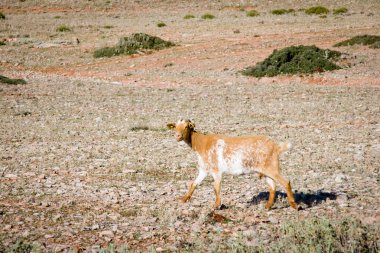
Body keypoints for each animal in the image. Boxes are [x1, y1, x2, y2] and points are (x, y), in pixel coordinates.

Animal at [168, 119, 296, 211]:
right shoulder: (204, 169)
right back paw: (267, 207)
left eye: (186, 126)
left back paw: (295, 205)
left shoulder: (216, 170)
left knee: (286, 182)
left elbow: (216, 187)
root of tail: (276, 146)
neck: (201, 143)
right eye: (175, 127)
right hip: (265, 170)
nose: (178, 136)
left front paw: (216, 206)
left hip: (272, 167)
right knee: (272, 187)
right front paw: (183, 200)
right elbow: (194, 184)